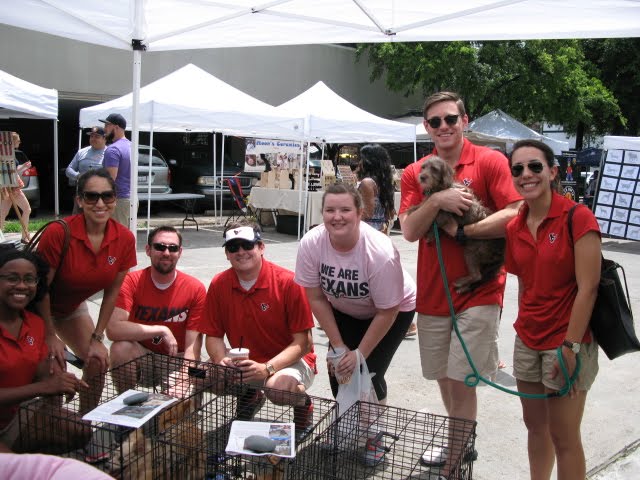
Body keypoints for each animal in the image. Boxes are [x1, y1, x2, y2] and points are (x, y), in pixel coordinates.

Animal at [416, 157, 504, 292]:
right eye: (423, 167)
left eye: (434, 169)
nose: (422, 177)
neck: (440, 187)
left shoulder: (443, 214)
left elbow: (431, 217)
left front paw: (429, 234)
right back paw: (464, 288)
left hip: (471, 251)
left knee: (477, 276)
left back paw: (461, 283)